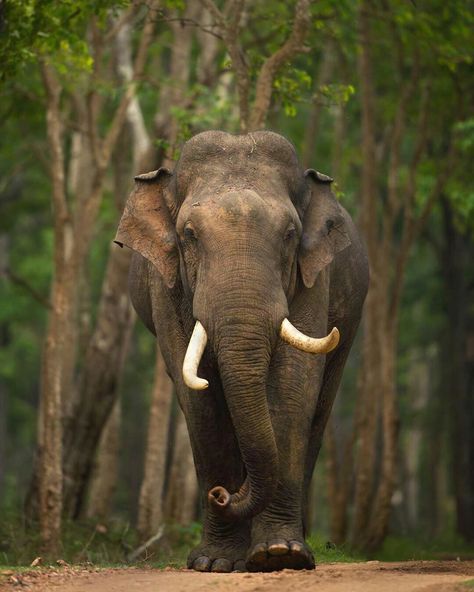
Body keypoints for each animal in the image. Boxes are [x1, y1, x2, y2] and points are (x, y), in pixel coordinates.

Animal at [115, 131, 370, 572]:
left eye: (290, 233)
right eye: (189, 235)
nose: (220, 494)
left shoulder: (312, 277)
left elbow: (292, 387)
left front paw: (279, 555)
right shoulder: (165, 286)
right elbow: (200, 403)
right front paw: (213, 563)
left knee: (319, 410)